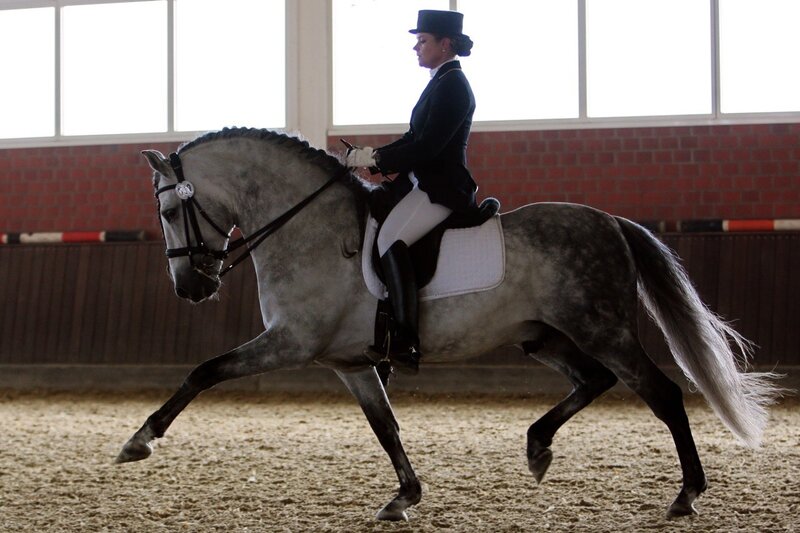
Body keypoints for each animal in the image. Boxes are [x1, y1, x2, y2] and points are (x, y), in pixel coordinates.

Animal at [117, 127, 782, 521]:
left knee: (662, 393)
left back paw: (686, 495)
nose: (191, 288)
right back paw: (537, 447)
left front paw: (140, 439)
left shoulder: (291, 343)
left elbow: (205, 370)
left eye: (169, 209)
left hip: (602, 329)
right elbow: (385, 427)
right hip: (541, 335)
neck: (307, 227)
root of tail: (610, 221)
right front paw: (404, 497)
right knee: (594, 382)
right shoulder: (347, 362)